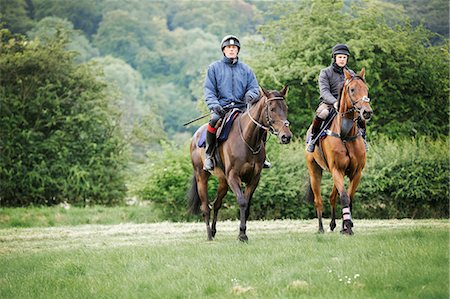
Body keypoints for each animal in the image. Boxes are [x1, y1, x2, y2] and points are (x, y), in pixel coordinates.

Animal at [189, 86, 292, 241]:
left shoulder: (254, 178)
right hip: (202, 177)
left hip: (223, 182)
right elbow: (242, 202)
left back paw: (213, 231)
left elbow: (247, 205)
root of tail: (195, 136)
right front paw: (242, 235)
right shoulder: (233, 176)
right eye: (272, 109)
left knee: (217, 204)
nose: (286, 136)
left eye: (285, 108)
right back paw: (209, 235)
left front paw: (243, 233)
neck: (247, 139)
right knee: (206, 207)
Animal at [306, 69, 372, 236]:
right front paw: (347, 226)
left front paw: (346, 226)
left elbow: (349, 198)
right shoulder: (337, 169)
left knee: (332, 197)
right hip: (314, 171)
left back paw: (333, 224)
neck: (345, 135)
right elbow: (344, 197)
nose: (367, 112)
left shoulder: (356, 172)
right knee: (319, 200)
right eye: (352, 89)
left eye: (366, 88)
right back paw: (321, 228)